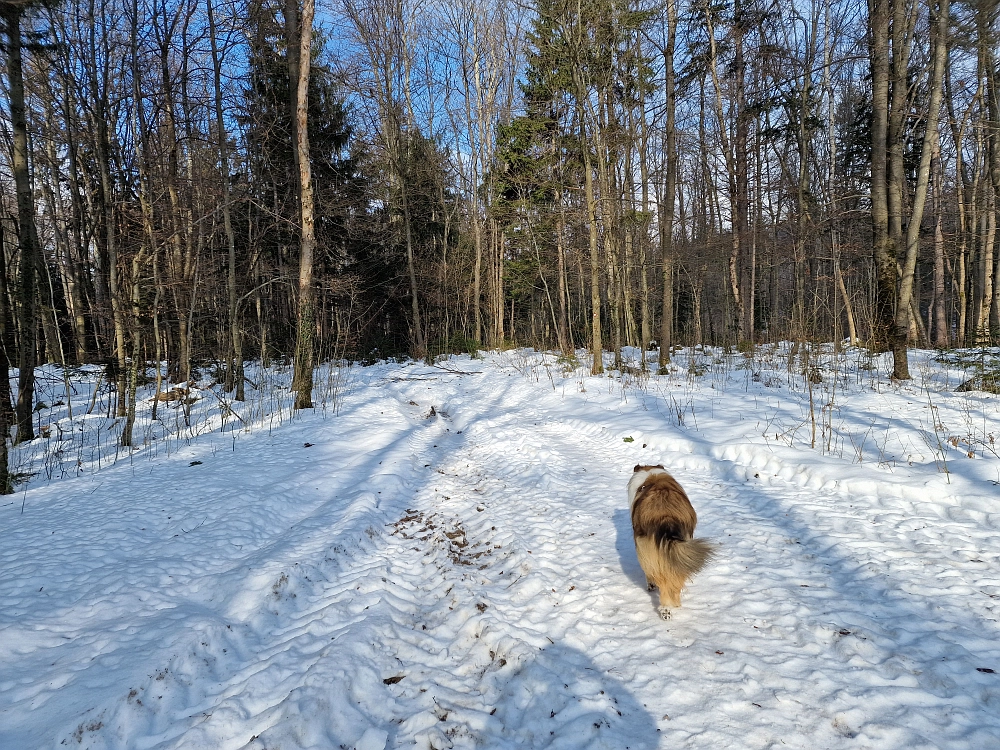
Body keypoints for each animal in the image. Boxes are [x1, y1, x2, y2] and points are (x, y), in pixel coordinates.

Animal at [624, 468, 712, 620]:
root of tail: (666, 518)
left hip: (650, 553)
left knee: (662, 581)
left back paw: (665, 609)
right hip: (680, 551)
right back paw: (675, 604)